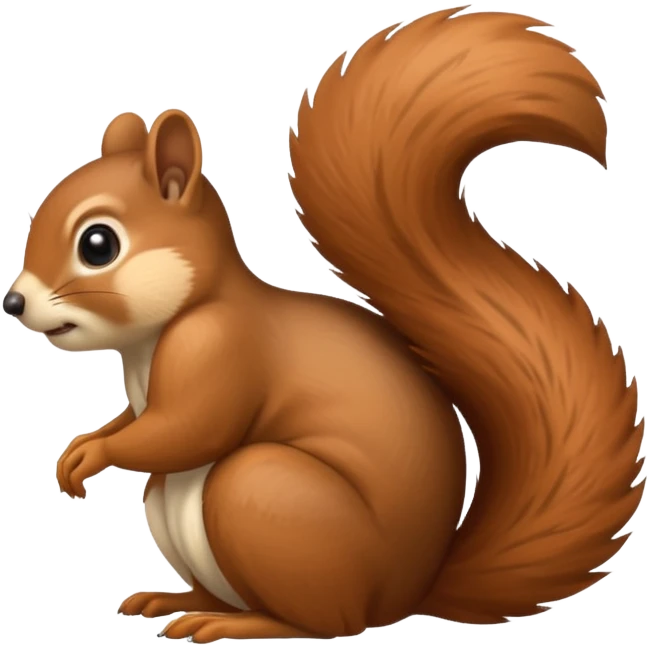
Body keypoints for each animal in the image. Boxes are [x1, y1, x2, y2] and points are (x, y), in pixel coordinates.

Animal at [4, 6, 644, 643]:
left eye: (98, 244)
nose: (13, 303)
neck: (154, 336)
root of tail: (410, 593)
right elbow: (134, 421)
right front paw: (80, 447)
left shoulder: (222, 347)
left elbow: (186, 429)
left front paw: (93, 457)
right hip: (176, 502)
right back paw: (176, 599)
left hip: (263, 494)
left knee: (319, 618)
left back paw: (235, 622)